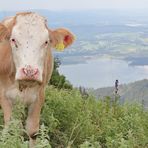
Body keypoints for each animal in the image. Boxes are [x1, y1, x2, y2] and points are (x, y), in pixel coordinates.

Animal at [0, 11, 74, 147]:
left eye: (46, 42)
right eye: (13, 40)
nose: (29, 72)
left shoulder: (39, 95)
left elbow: (32, 131)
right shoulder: (3, 95)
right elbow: (12, 129)